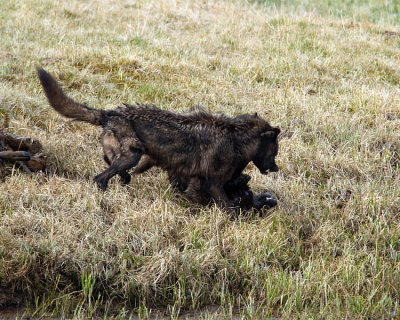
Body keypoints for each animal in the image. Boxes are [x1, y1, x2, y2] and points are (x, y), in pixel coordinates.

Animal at [38, 67, 282, 211]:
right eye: (275, 151)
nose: (276, 168)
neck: (237, 138)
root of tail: (110, 113)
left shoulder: (185, 176)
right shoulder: (214, 183)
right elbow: (226, 205)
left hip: (127, 157)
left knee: (117, 172)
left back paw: (123, 182)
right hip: (131, 156)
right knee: (100, 178)